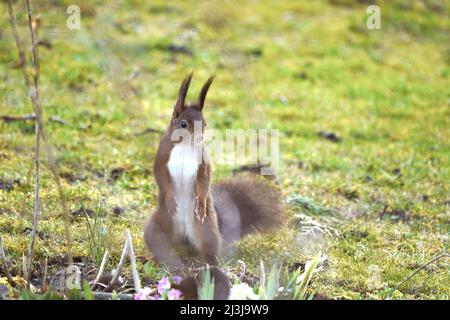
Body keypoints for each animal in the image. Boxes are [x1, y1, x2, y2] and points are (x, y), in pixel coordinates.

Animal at [144, 74, 282, 266]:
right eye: (183, 124)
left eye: (205, 123)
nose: (200, 137)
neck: (185, 145)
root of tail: (184, 238)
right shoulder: (162, 156)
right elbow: (160, 177)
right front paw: (171, 198)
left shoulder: (202, 161)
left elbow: (204, 179)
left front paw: (201, 202)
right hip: (159, 224)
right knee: (158, 242)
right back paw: (154, 258)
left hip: (207, 228)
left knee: (209, 249)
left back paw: (213, 265)